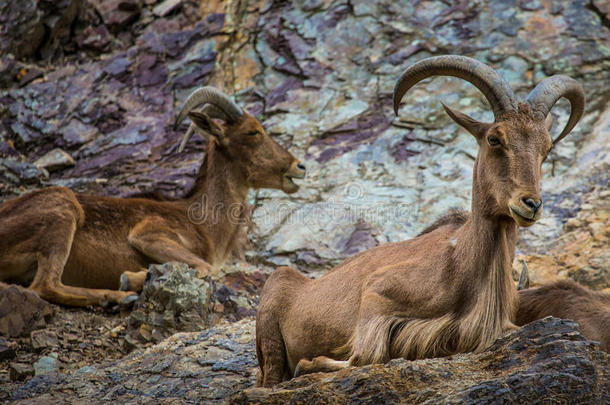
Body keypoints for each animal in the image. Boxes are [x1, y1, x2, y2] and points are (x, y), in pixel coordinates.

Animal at [0, 87, 304, 304]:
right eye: (253, 132)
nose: (298, 166)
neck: (202, 220)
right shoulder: (149, 235)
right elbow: (205, 268)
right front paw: (130, 278)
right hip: (62, 213)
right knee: (44, 286)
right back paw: (118, 297)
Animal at [253, 53, 584, 386]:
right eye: (494, 139)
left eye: (546, 147)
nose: (531, 204)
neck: (462, 262)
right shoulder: (376, 295)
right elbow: (364, 356)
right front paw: (309, 364)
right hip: (273, 316)